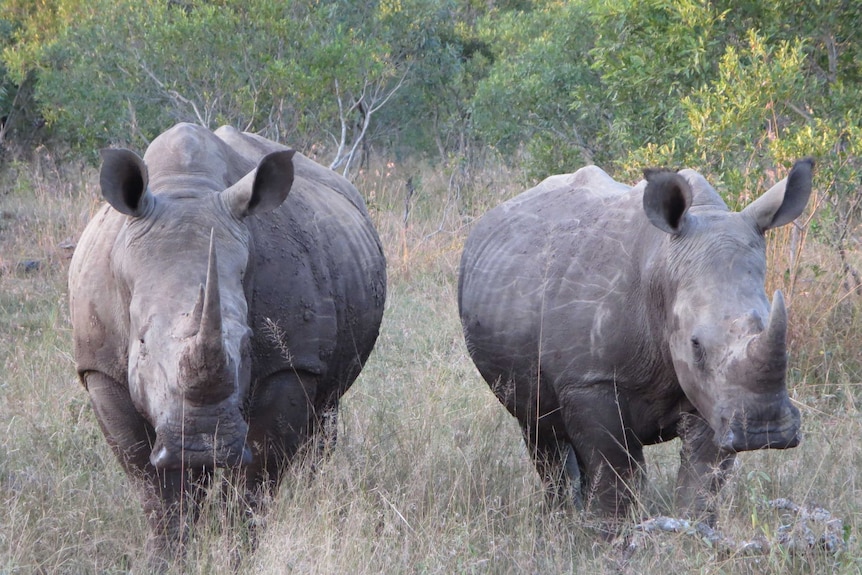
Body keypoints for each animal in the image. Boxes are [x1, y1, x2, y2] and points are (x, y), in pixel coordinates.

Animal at [69, 125, 386, 564]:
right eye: (141, 343)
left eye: (248, 341)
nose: (204, 444)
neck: (186, 189)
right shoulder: (99, 368)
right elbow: (151, 483)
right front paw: (168, 558)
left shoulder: (291, 363)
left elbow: (255, 479)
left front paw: (236, 554)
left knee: (325, 413)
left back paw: (313, 497)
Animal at [462, 160, 812, 524]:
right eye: (695, 345)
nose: (765, 431)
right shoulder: (591, 381)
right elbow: (616, 472)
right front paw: (607, 534)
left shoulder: (718, 397)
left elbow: (703, 477)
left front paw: (690, 530)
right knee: (540, 429)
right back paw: (562, 520)